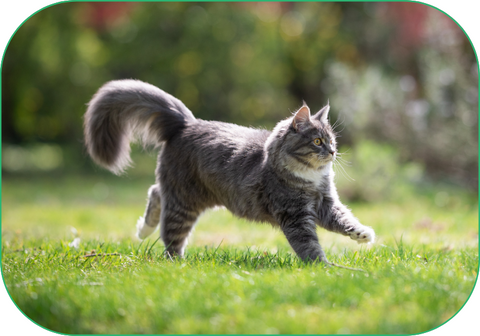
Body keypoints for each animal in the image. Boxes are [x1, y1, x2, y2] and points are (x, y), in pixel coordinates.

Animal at [83, 79, 376, 262]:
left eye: (332, 140)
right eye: (317, 141)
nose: (333, 152)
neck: (309, 178)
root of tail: (187, 123)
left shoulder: (325, 203)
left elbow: (345, 220)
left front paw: (363, 235)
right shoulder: (295, 215)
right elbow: (309, 245)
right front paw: (324, 268)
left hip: (191, 197)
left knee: (155, 192)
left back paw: (143, 229)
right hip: (184, 202)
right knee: (170, 237)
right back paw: (174, 261)